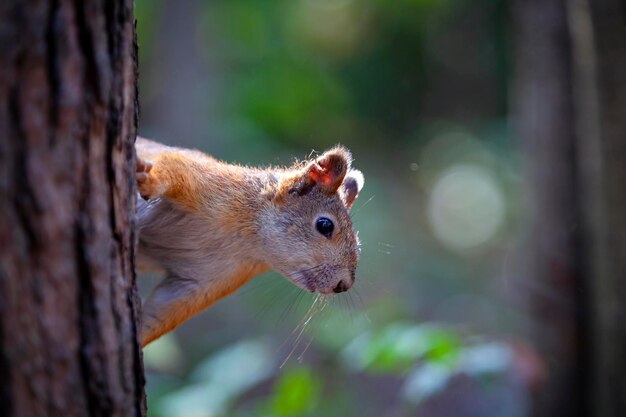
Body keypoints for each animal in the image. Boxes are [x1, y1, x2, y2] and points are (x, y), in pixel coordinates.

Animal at [134, 136, 364, 344]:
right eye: (325, 225)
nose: (343, 285)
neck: (247, 243)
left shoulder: (204, 282)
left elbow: (162, 313)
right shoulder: (208, 183)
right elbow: (172, 165)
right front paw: (149, 180)